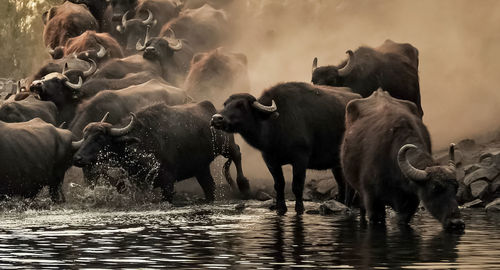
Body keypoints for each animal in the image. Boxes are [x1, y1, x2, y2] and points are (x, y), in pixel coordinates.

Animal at [72, 102, 252, 202]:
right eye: (85, 136)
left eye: (99, 138)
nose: (77, 158)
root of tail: (212, 111)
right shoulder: (137, 184)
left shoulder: (168, 183)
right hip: (201, 168)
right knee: (209, 187)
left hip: (226, 146)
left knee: (237, 154)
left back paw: (244, 185)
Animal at [210, 81, 360, 214]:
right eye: (225, 104)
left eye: (241, 105)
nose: (216, 118)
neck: (275, 126)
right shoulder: (270, 160)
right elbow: (279, 185)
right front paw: (281, 208)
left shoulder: (300, 158)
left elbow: (297, 186)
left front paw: (299, 209)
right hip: (336, 165)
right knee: (342, 184)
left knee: (350, 185)